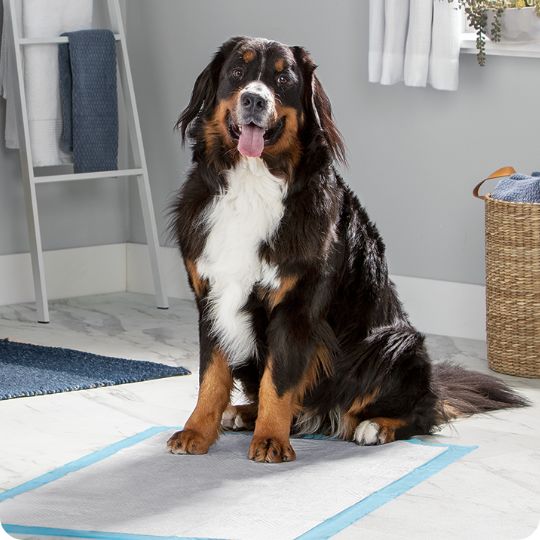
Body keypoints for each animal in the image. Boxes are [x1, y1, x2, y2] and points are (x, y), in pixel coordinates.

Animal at [166, 35, 528, 462]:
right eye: (237, 71)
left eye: (283, 79)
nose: (254, 99)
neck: (251, 183)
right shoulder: (212, 295)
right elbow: (212, 376)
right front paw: (196, 431)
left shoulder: (296, 304)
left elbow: (279, 381)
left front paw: (270, 440)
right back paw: (242, 413)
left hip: (393, 343)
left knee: (422, 411)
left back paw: (375, 426)